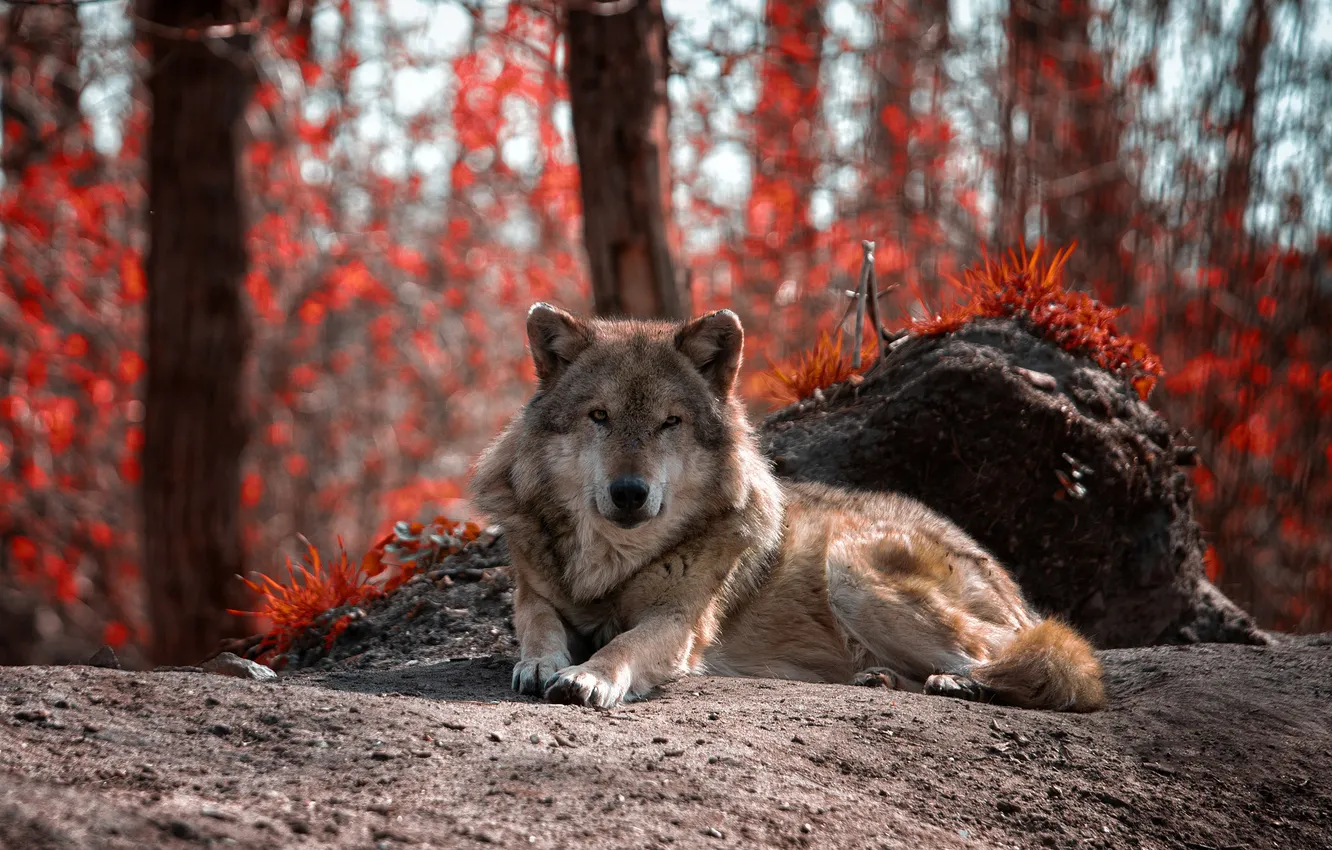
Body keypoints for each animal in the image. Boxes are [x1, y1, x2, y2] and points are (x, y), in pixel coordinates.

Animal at [470, 303, 1105, 712]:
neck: (613, 563)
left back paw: (960, 685)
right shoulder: (534, 592)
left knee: (1049, 670)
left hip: (851, 567)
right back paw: (880, 678)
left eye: (670, 422)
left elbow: (621, 645)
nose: (630, 492)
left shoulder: (679, 622)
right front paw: (540, 662)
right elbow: (537, 623)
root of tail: (1011, 586)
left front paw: (588, 676)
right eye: (598, 416)